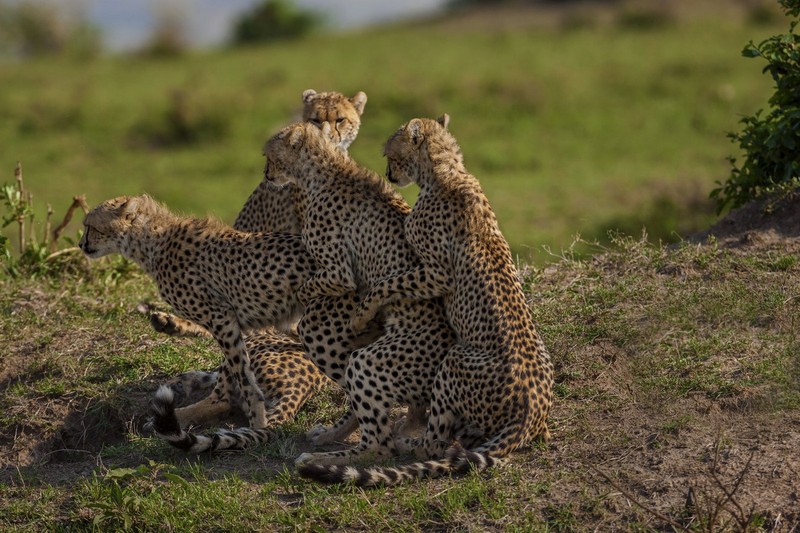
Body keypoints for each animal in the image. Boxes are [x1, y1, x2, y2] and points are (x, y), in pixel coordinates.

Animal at [79, 193, 318, 434]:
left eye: (90, 226)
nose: (81, 244)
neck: (150, 242)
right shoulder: (278, 319)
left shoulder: (222, 315)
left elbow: (243, 376)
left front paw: (258, 422)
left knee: (221, 397)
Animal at [262, 120, 456, 466]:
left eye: (270, 156)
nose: (266, 174)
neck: (324, 168)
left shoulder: (339, 275)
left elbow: (311, 287)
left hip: (364, 355)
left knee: (378, 441)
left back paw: (325, 459)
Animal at [296, 116, 552, 486]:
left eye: (390, 154)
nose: (389, 174)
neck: (447, 171)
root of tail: (530, 412)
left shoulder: (438, 273)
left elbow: (388, 283)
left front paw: (361, 314)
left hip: (452, 362)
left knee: (427, 445)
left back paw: (402, 443)